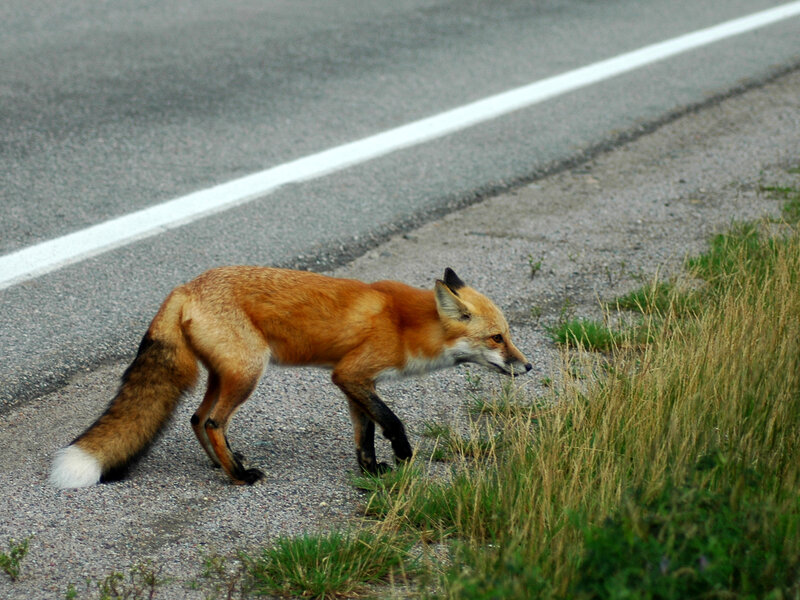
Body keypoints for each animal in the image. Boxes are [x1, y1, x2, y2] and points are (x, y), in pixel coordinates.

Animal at [49, 267, 531, 488]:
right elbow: (390, 420)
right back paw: (240, 477)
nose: (528, 367)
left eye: (509, 335)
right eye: (497, 338)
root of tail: (184, 288)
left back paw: (225, 463)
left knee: (197, 419)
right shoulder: (352, 374)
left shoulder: (354, 383)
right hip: (247, 374)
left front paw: (371, 471)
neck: (403, 323)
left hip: (226, 375)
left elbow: (364, 433)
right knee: (212, 421)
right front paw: (403, 454)